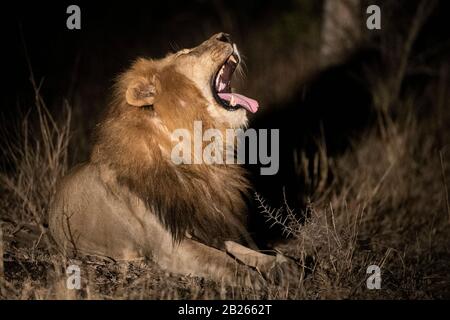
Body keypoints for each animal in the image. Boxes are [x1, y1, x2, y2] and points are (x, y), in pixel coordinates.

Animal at [49, 33, 292, 288]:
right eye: (184, 53)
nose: (225, 36)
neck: (198, 151)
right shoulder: (170, 246)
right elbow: (220, 261)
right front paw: (254, 280)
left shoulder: (203, 223)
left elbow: (243, 251)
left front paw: (281, 265)